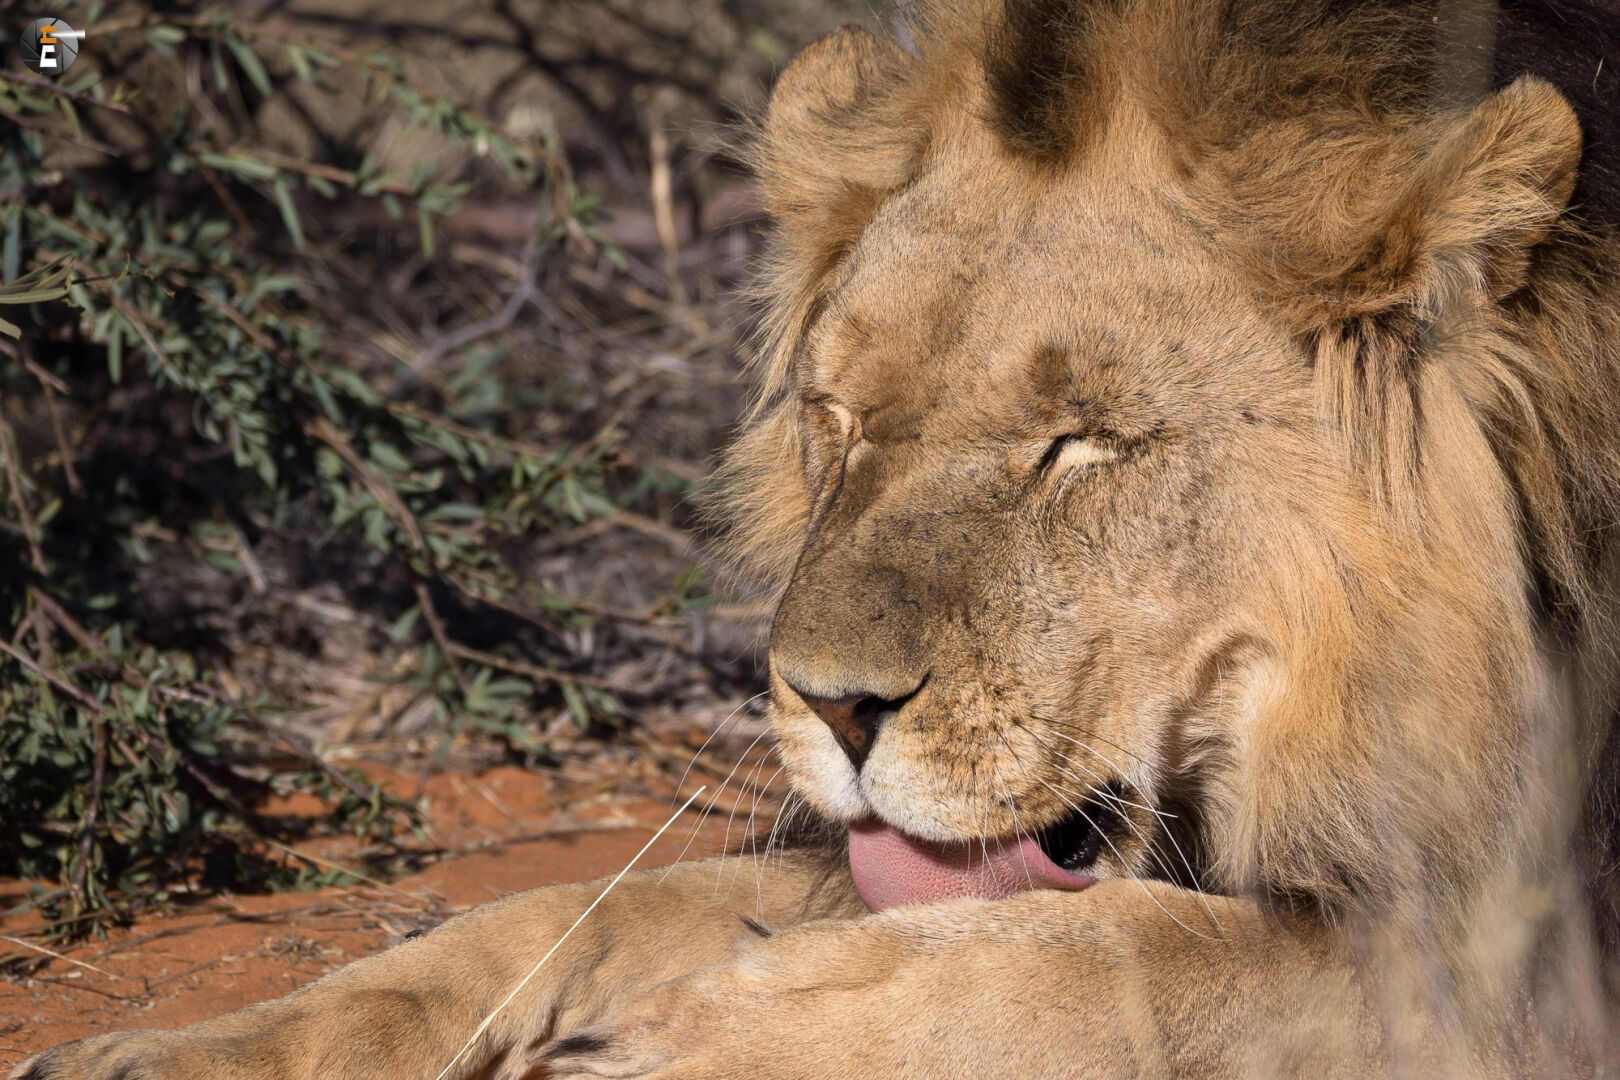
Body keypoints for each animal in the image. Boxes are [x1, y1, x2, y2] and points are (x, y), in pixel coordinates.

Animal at [14, 0, 1620, 1077]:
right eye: (840, 418)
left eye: (1081, 441)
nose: (832, 708)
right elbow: (580, 908)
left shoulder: (1519, 952)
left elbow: (1126, 955)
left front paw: (696, 1049)